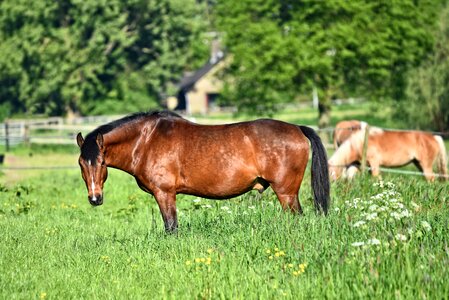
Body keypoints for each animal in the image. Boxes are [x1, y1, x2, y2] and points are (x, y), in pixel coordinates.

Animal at [76, 111, 328, 231]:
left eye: (101, 162)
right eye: (81, 164)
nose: (95, 198)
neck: (146, 140)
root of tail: (297, 128)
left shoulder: (165, 194)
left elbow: (171, 227)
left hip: (286, 192)